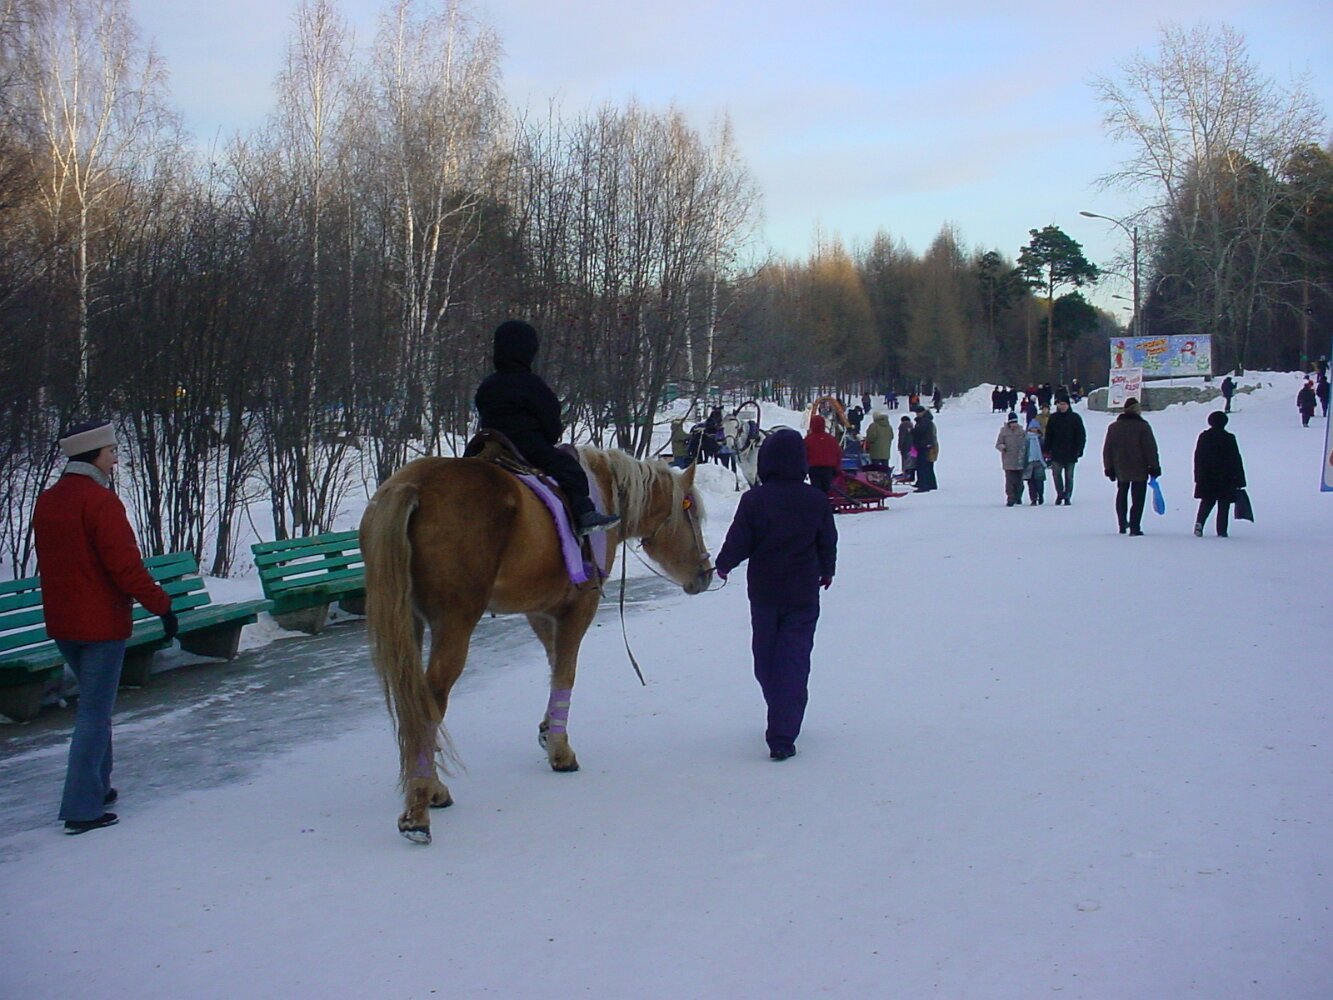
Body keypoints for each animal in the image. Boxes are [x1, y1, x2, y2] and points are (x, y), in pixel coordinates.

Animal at [359, 447, 713, 845]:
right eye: (691, 512)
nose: (705, 573)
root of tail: (413, 484)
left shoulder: (540, 611)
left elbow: (555, 662)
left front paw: (548, 731)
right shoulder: (579, 606)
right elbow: (566, 672)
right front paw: (560, 749)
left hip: (409, 619)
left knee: (410, 696)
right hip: (454, 624)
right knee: (430, 700)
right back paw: (420, 805)